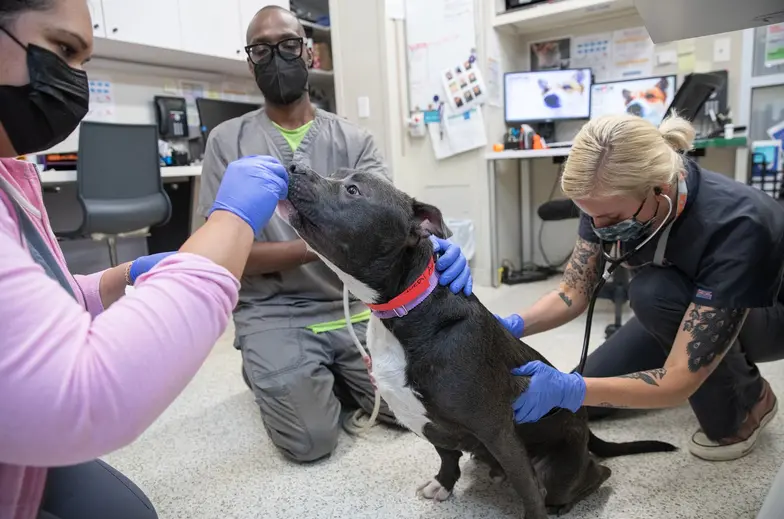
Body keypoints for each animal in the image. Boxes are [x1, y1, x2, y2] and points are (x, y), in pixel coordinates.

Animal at [276, 166, 672, 519]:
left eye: (353, 190)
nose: (291, 166)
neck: (407, 309)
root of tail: (586, 426)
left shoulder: (498, 431)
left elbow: (528, 490)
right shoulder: (429, 423)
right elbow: (447, 455)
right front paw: (443, 483)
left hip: (559, 468)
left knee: (593, 474)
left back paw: (564, 499)